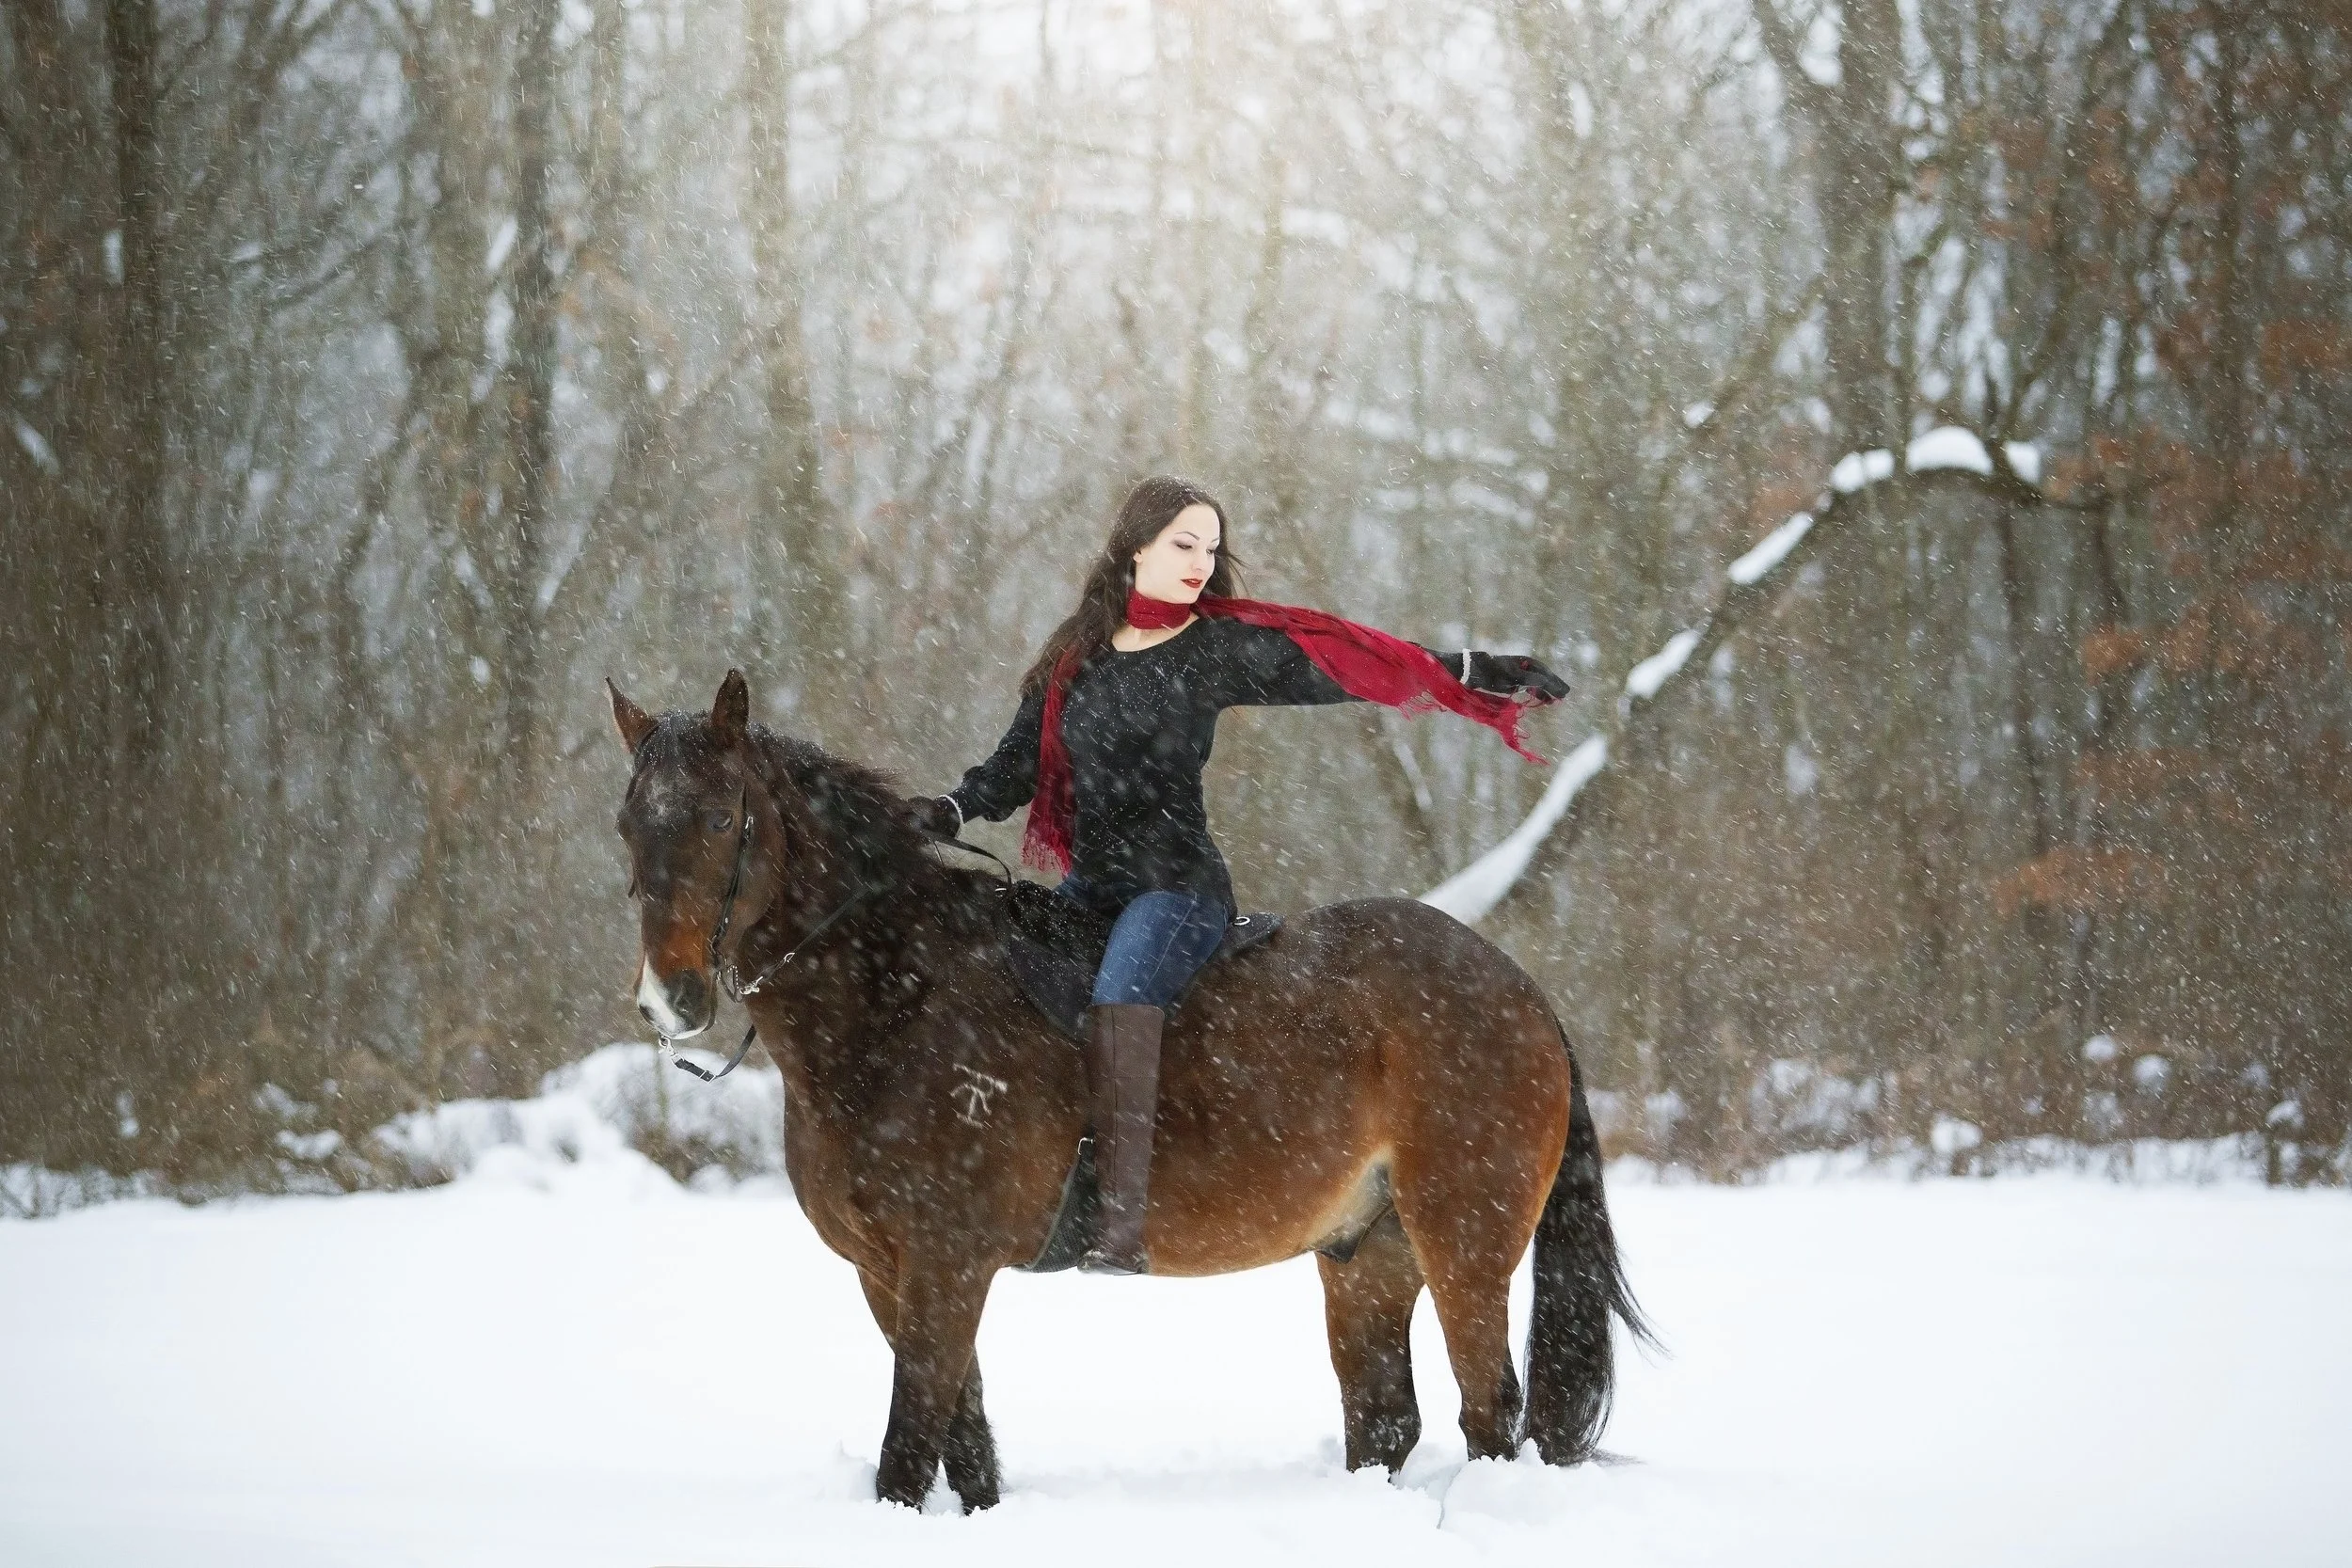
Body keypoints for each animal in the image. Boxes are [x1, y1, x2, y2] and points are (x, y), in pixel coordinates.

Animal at [606, 669, 1651, 1511]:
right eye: (627, 825)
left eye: (719, 817)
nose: (669, 996)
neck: (897, 996)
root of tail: (1517, 987)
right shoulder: (888, 1273)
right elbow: (967, 1449)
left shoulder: (945, 1265)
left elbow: (908, 1452)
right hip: (1368, 1252)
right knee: (1386, 1419)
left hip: (1463, 1244)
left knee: (1489, 1413)